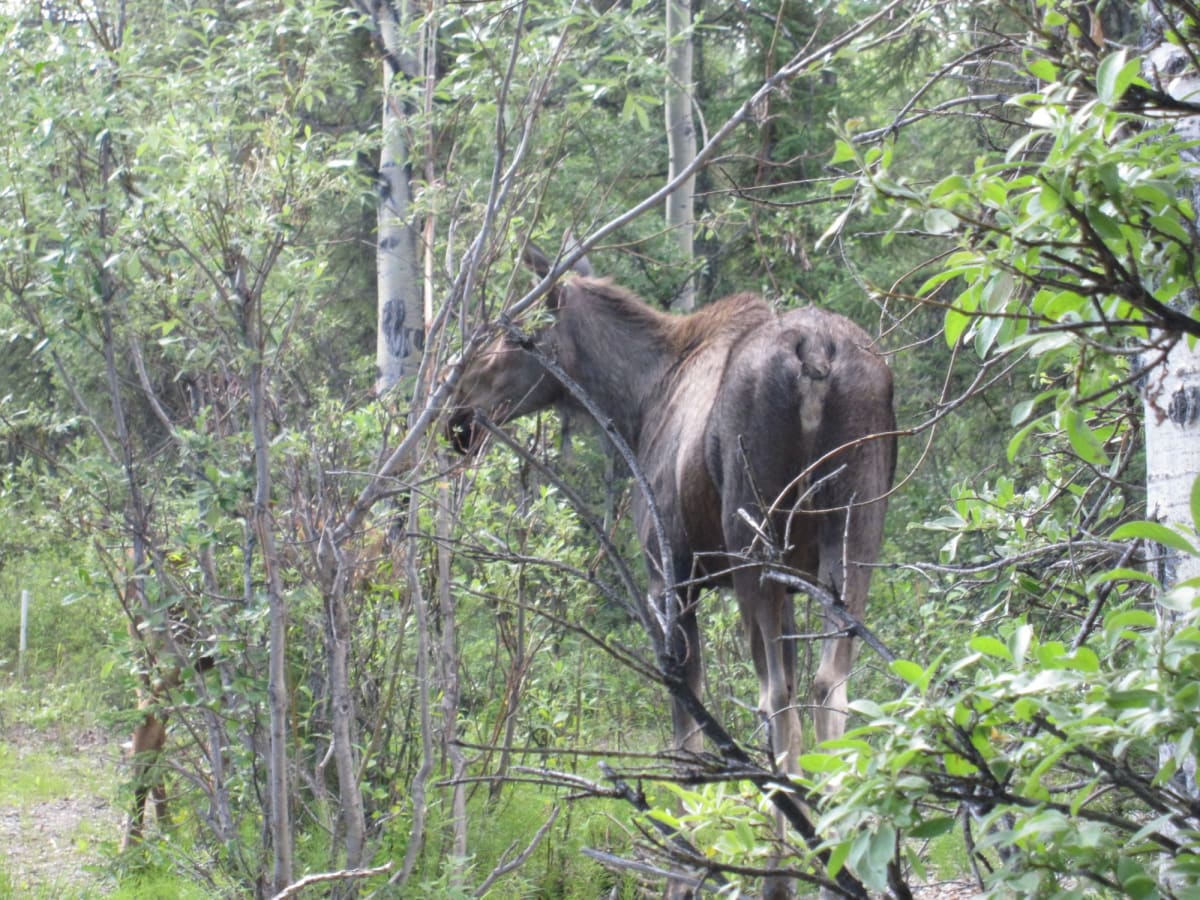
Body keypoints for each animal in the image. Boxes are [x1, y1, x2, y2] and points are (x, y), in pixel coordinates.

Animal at [446, 247, 897, 782]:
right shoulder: (787, 581)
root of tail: (816, 354)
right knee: (829, 683)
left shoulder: (670, 576)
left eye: (514, 336)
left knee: (775, 696)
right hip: (854, 531)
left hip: (751, 541)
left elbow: (688, 731)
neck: (636, 405)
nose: (456, 411)